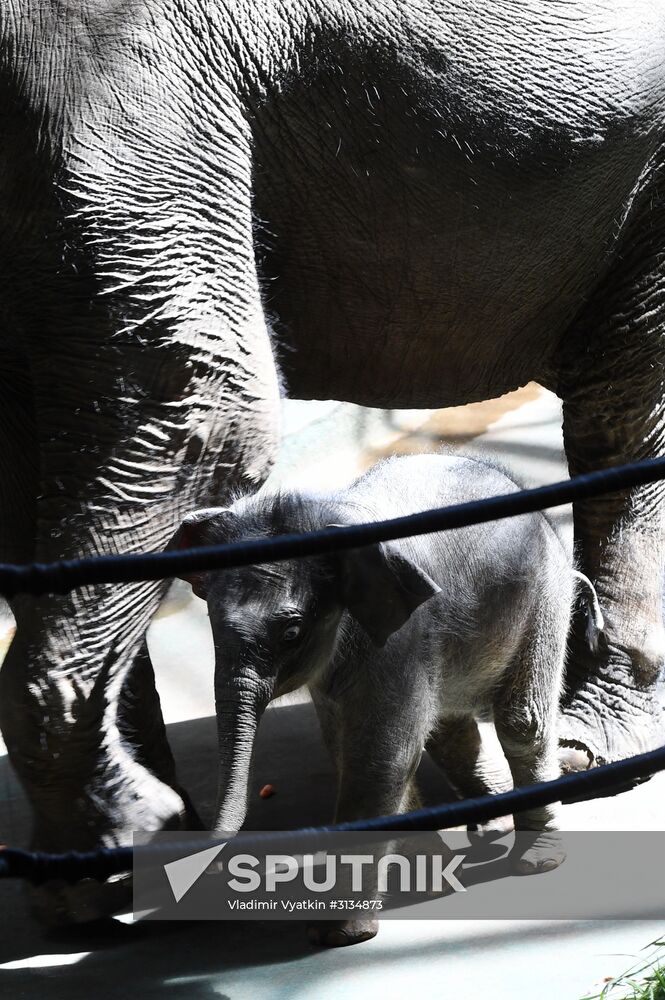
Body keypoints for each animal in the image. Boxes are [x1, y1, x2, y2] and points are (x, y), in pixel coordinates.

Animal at [172, 453, 594, 946]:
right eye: (212, 626)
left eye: (291, 632)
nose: (209, 870)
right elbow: (348, 747)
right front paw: (426, 879)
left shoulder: (399, 639)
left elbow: (380, 756)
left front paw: (337, 935)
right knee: (448, 727)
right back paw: (492, 826)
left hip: (545, 594)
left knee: (521, 720)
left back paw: (536, 859)